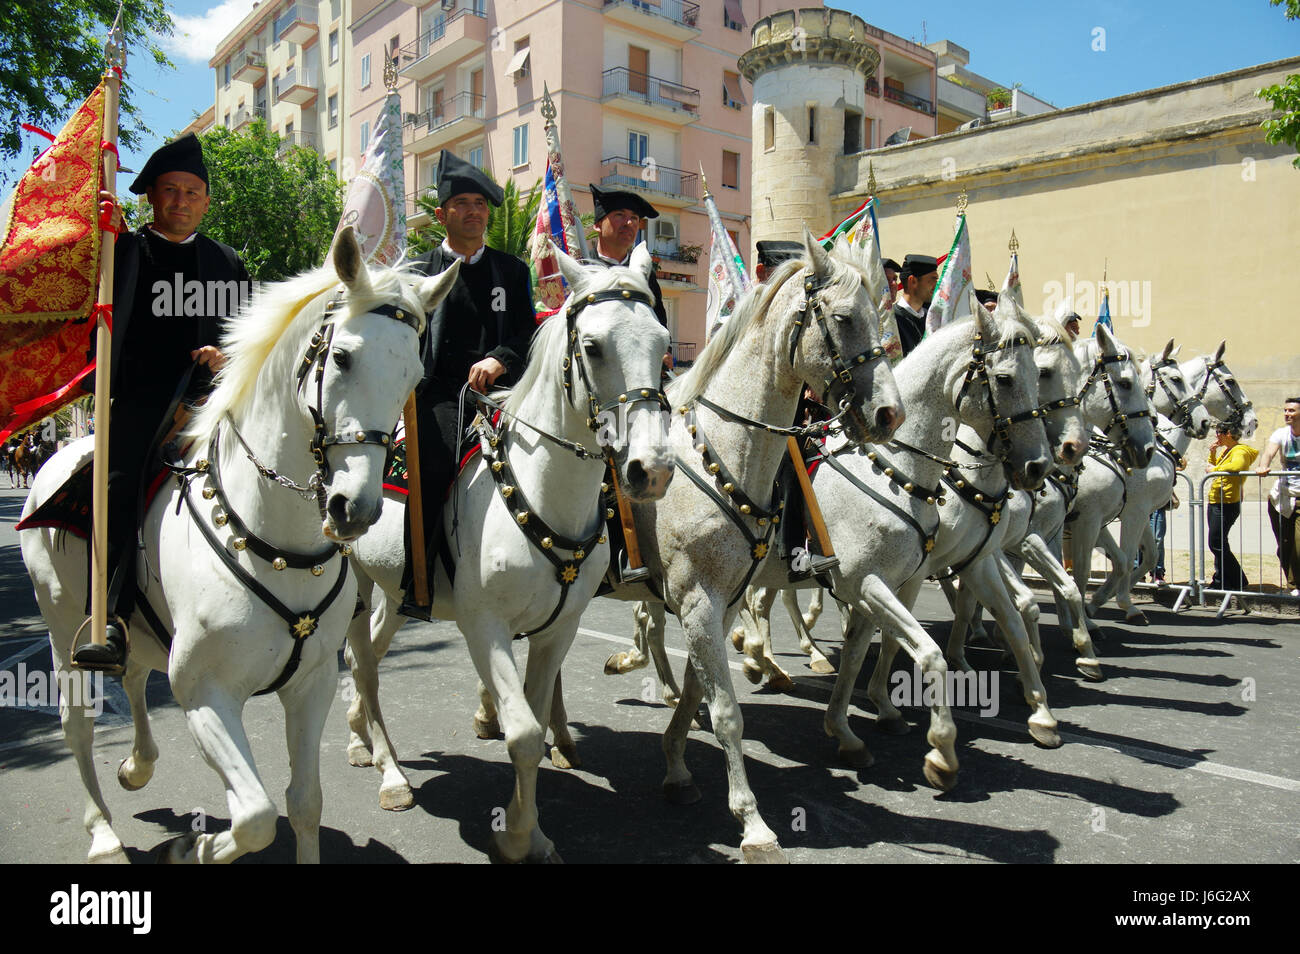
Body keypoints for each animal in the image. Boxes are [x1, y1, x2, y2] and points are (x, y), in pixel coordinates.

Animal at [15, 231, 449, 868]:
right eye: (343, 357)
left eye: (413, 375)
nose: (357, 509)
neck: (276, 541)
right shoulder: (205, 694)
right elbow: (256, 818)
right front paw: (190, 848)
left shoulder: (310, 685)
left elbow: (304, 804)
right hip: (62, 619)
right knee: (77, 723)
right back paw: (103, 834)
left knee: (133, 676)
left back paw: (137, 767)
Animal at [340, 240, 676, 868]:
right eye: (592, 347)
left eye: (664, 343)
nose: (653, 470)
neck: (541, 492)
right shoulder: (485, 626)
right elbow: (521, 733)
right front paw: (516, 838)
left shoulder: (558, 629)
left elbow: (537, 722)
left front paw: (533, 831)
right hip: (353, 581)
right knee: (363, 664)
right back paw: (391, 774)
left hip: (396, 593)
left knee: (366, 654)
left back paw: (359, 739)